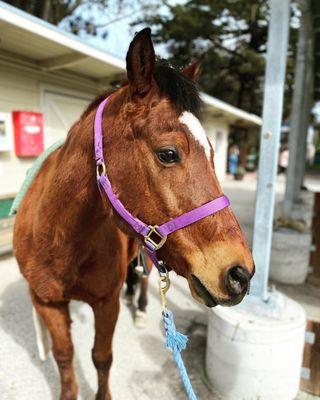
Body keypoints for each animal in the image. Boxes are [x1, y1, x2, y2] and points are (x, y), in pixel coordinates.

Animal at [13, 28, 255, 400]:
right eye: (168, 153)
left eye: (214, 153)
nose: (240, 274)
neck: (56, 237)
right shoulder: (46, 302)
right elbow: (64, 356)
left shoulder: (105, 303)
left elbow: (101, 358)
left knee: (142, 276)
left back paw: (139, 306)